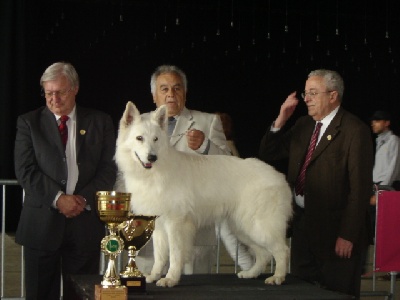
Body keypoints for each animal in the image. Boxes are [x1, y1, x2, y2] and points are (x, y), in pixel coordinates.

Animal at [114, 102, 292, 288]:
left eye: (155, 139)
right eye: (139, 138)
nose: (152, 157)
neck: (155, 172)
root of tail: (280, 177)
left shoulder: (175, 223)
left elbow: (175, 255)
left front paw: (170, 278)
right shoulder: (159, 225)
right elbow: (160, 256)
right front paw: (154, 275)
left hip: (258, 226)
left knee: (282, 250)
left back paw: (277, 277)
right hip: (242, 228)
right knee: (264, 254)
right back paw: (251, 273)